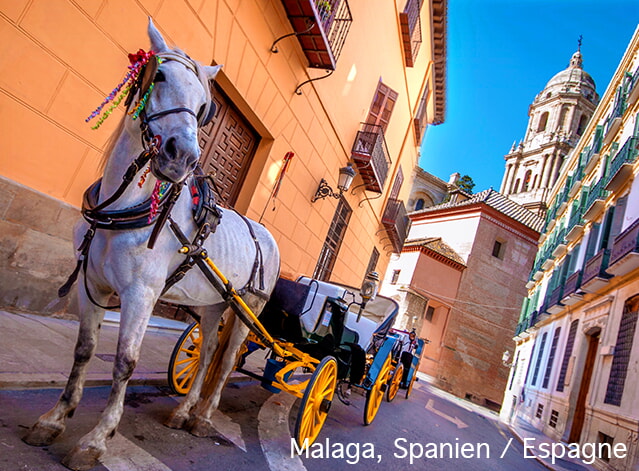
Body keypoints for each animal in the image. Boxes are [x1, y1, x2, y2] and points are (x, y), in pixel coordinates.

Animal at [23, 19, 280, 470]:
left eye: (203, 106)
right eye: (157, 77)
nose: (183, 158)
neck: (123, 208)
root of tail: (264, 232)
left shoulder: (141, 294)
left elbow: (125, 362)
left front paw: (97, 439)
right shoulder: (91, 284)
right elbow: (84, 350)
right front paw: (55, 418)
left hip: (249, 306)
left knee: (226, 361)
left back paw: (204, 418)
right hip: (215, 303)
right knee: (207, 351)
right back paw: (184, 411)